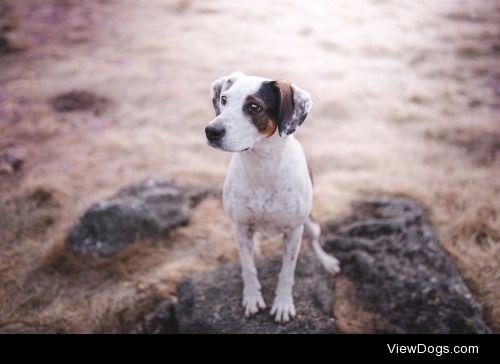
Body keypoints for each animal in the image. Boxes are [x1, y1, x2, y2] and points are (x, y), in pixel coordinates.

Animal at [204, 72, 340, 322]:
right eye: (224, 99)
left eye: (254, 106)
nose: (211, 131)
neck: (261, 166)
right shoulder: (239, 227)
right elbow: (248, 267)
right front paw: (252, 298)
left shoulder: (294, 231)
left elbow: (287, 272)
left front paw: (283, 304)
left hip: (310, 224)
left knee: (314, 240)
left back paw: (326, 261)